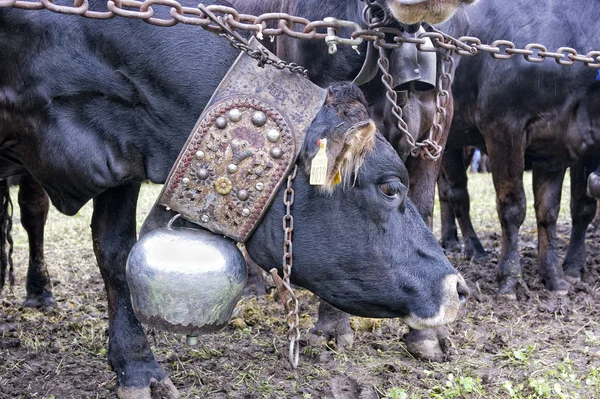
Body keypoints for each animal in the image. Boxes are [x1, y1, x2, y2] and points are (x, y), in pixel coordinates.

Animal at [436, 0, 600, 298]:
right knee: (456, 194)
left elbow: (550, 211)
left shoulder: (556, 144)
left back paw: (451, 242)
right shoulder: (503, 126)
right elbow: (513, 207)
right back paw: (475, 250)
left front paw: (555, 278)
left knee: (447, 191)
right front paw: (510, 278)